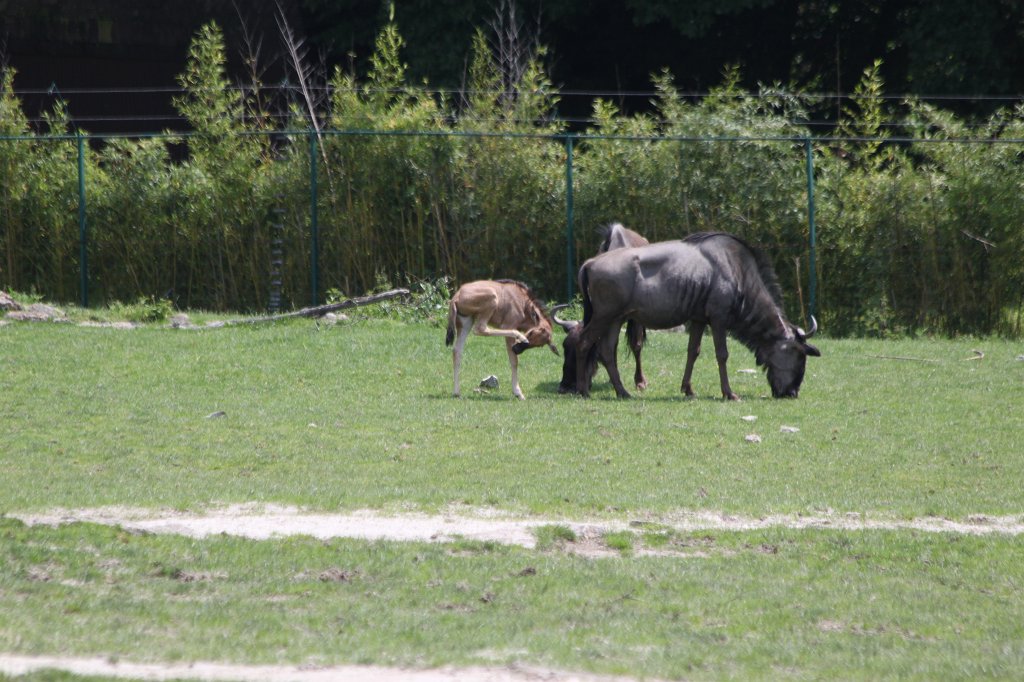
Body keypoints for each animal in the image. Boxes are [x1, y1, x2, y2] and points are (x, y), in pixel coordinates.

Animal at [552, 222, 649, 394]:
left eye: (590, 349)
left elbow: (636, 345)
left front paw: (640, 381)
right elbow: (611, 347)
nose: (565, 386)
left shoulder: (635, 318)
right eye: (564, 346)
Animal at [574, 232, 820, 400]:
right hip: (604, 317)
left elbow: (693, 351)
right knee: (584, 343)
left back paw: (622, 391)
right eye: (800, 356)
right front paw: (729, 393)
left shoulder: (699, 319)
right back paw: (583, 390)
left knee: (607, 351)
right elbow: (722, 354)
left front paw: (688, 389)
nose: (791, 392)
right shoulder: (718, 319)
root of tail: (590, 263)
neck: (737, 271)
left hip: (616, 319)